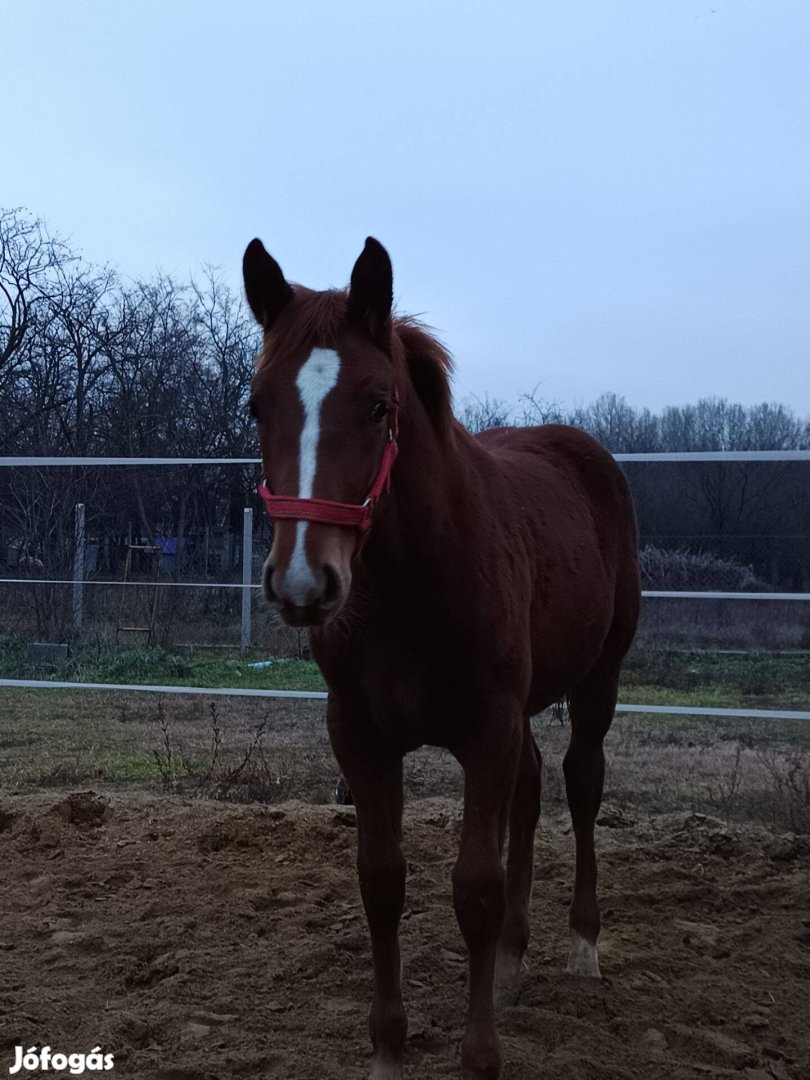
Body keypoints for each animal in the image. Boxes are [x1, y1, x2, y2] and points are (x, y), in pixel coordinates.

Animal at [243, 238, 639, 1080]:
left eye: (378, 404)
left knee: (580, 784)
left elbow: (474, 889)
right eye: (257, 405)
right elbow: (382, 881)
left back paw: (580, 944)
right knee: (530, 789)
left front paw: (480, 1056)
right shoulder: (360, 735)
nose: (303, 582)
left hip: (599, 680)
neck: (409, 586)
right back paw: (515, 960)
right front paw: (388, 1051)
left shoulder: (486, 726)